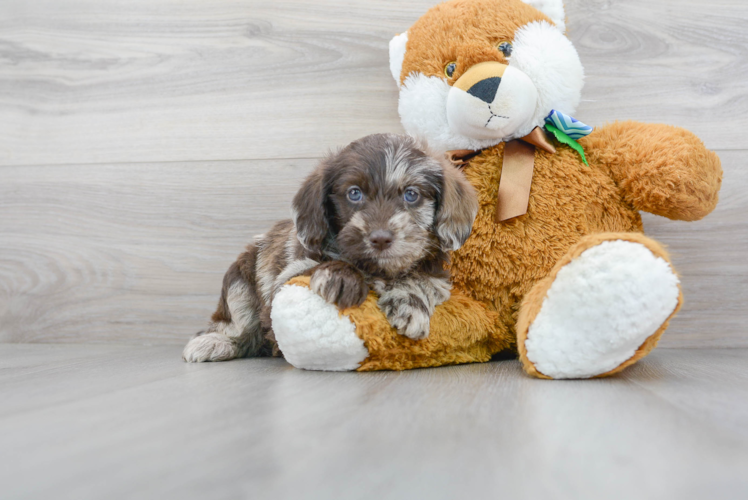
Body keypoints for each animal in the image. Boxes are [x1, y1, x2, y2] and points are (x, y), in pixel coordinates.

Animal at [182, 133, 476, 364]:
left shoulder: (437, 279)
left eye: (411, 194)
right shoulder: (288, 275)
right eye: (354, 193)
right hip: (239, 283)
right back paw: (215, 343)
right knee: (239, 327)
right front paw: (343, 276)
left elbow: (418, 279)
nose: (380, 238)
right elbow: (324, 265)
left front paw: (410, 303)